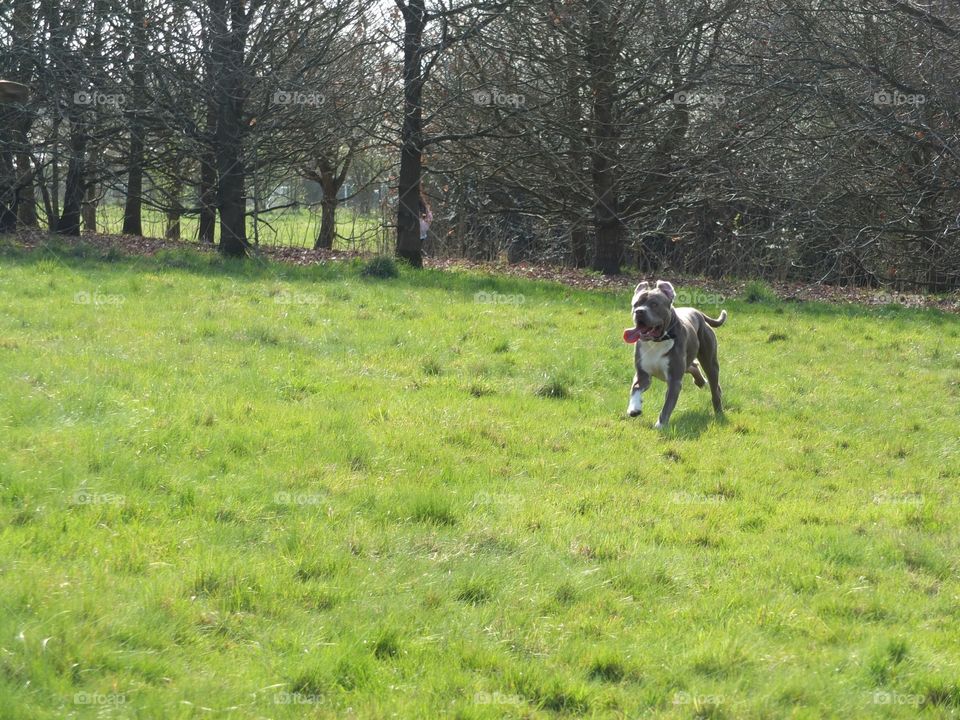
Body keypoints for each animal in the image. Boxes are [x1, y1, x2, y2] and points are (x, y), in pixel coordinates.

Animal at [624, 280, 728, 428]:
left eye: (654, 304)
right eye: (636, 304)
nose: (639, 311)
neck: (658, 341)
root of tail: (699, 313)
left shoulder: (674, 381)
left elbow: (667, 406)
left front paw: (660, 426)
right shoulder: (643, 374)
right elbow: (635, 389)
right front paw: (634, 408)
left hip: (710, 363)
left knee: (715, 389)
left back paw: (718, 411)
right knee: (693, 366)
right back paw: (701, 382)